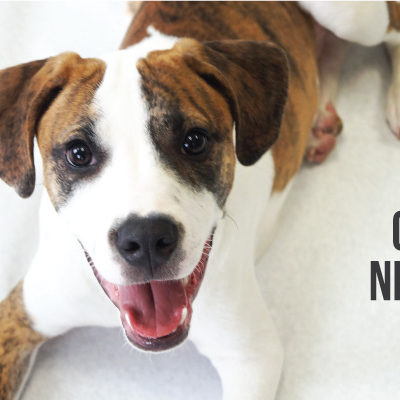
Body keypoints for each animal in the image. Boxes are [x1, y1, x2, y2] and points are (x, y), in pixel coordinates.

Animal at [0, 3, 398, 400]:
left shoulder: (252, 357)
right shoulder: (21, 315)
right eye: (78, 153)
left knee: (390, 27)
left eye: (194, 141)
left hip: (350, 15)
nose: (146, 238)